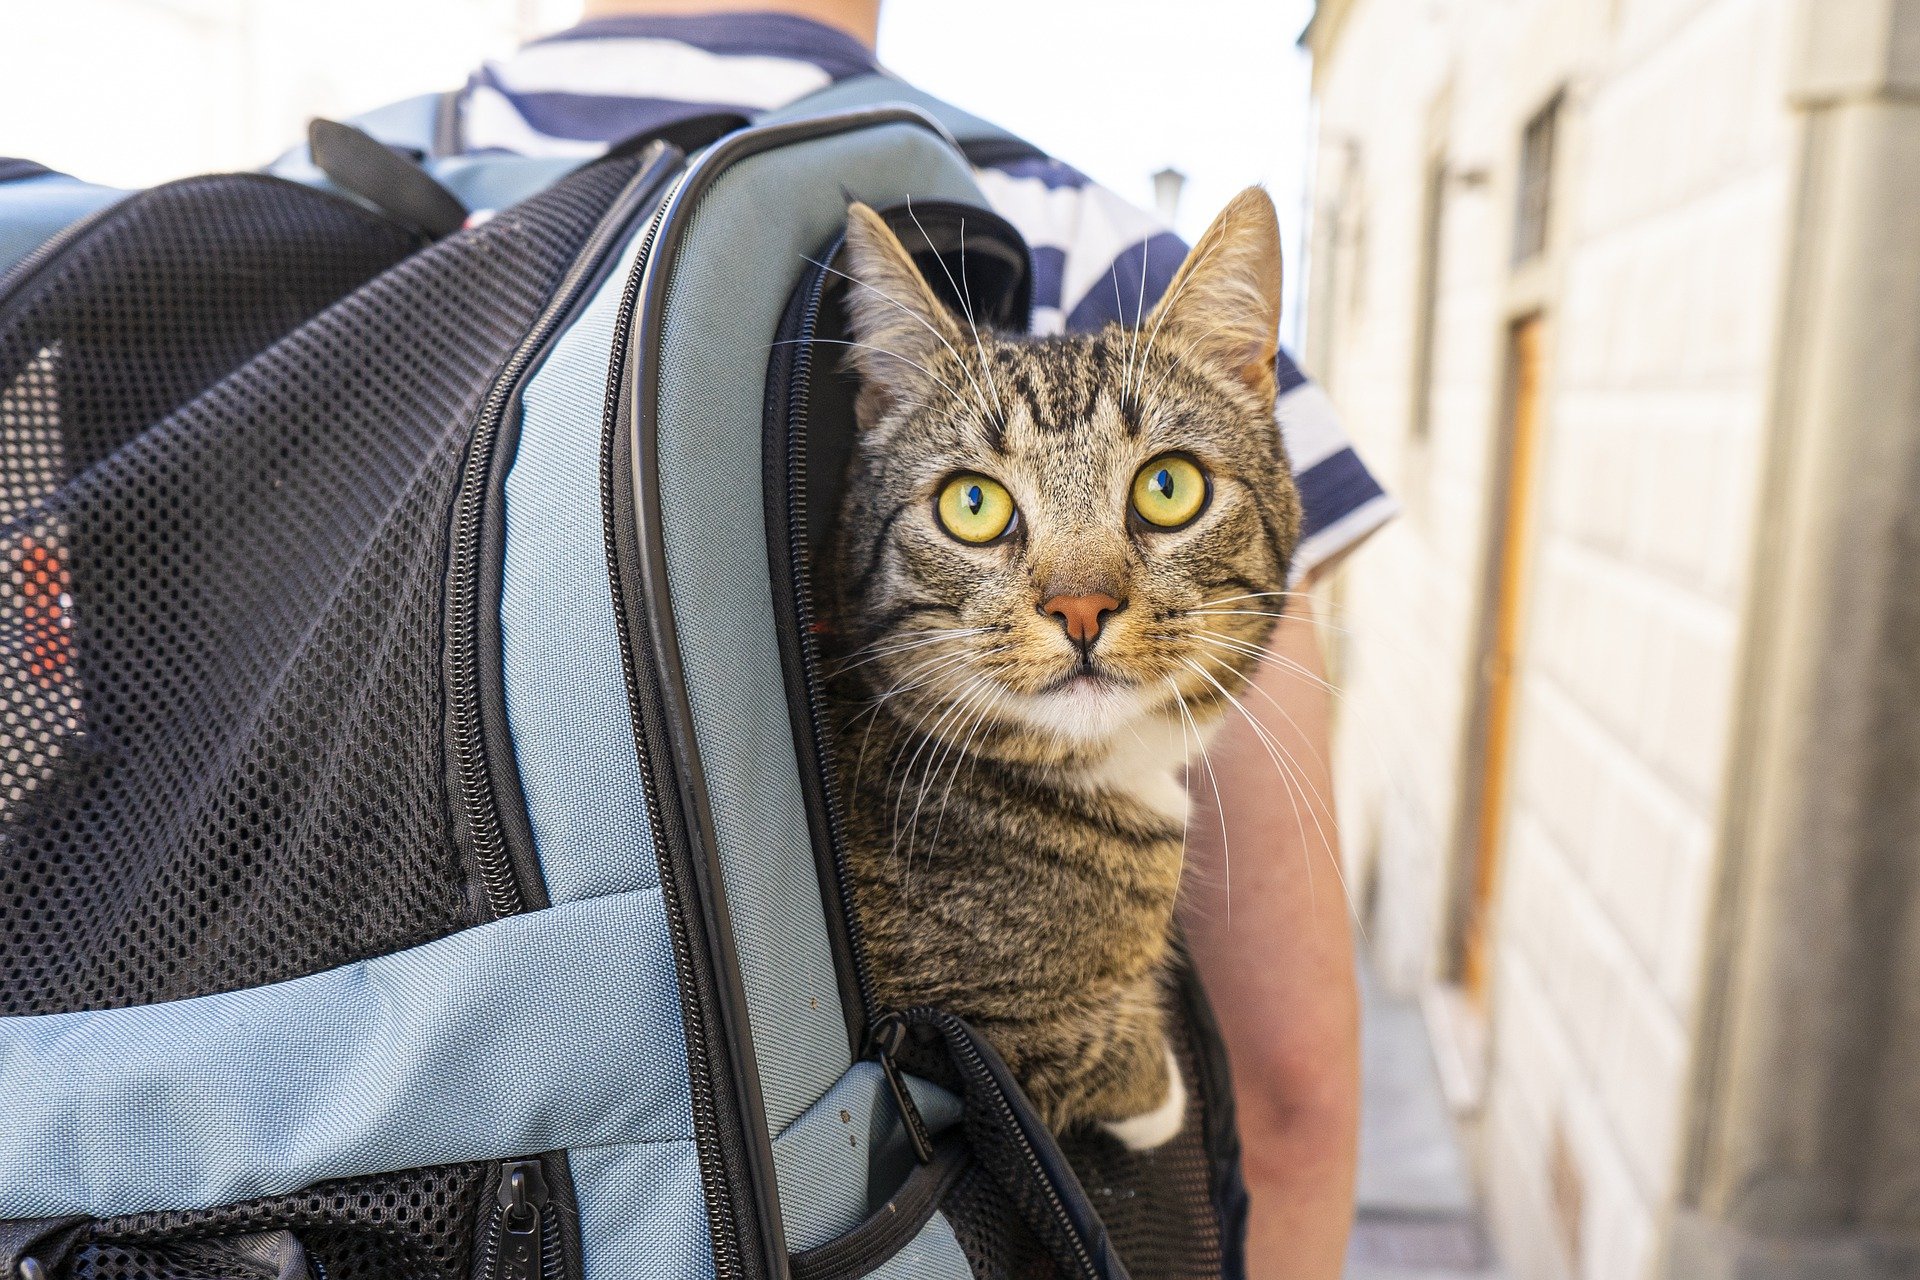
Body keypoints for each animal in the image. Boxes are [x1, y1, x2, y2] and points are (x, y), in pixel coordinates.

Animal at [829, 189, 1297, 1151]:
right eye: (972, 503)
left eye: (1168, 487)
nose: (1080, 608)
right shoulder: (946, 1037)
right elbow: (1068, 1054)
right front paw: (1160, 1089)